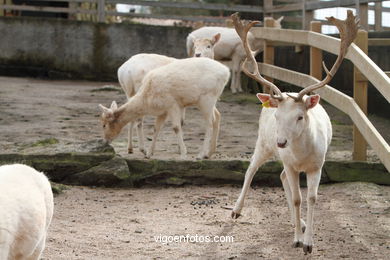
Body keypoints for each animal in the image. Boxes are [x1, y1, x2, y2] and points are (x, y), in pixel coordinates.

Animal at [99, 58, 230, 159]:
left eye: (104, 125)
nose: (105, 142)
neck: (147, 100)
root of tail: (226, 72)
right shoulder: (163, 111)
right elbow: (156, 128)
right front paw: (149, 154)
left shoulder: (173, 105)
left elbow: (176, 127)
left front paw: (183, 154)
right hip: (209, 100)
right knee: (217, 116)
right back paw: (209, 153)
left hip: (207, 98)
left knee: (210, 123)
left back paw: (201, 155)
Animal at [230, 11, 358, 254]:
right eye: (277, 116)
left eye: (300, 116)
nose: (281, 142)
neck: (301, 156)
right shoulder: (290, 164)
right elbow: (298, 199)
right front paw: (297, 239)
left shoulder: (317, 165)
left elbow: (311, 198)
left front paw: (308, 242)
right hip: (263, 143)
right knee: (251, 169)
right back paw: (236, 210)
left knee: (280, 176)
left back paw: (300, 222)